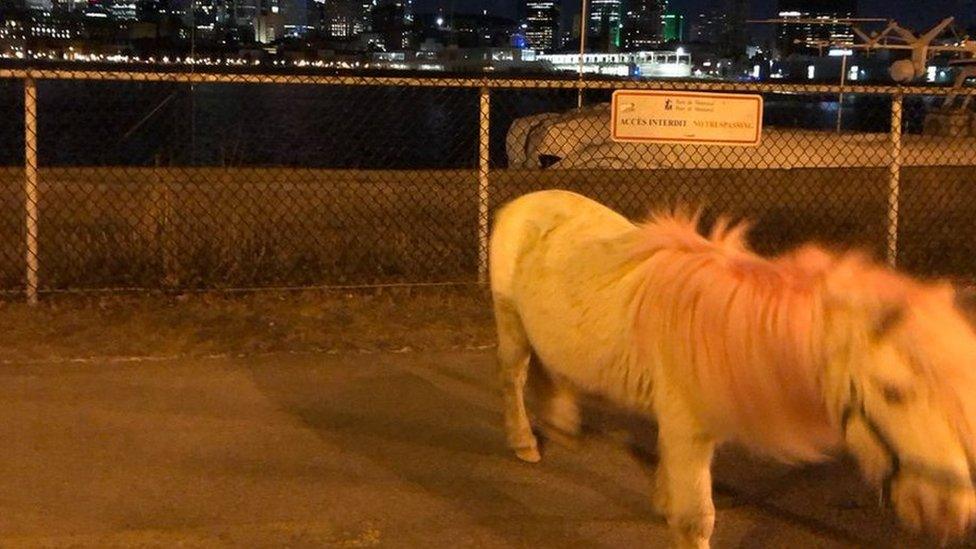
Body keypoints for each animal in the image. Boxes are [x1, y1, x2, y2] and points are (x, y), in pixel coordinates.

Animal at [492, 189, 976, 548]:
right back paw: (524, 443)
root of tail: (523, 202)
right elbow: (697, 519)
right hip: (511, 325)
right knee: (513, 379)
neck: (723, 327)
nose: (953, 510)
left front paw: (662, 498)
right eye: (893, 392)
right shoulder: (687, 427)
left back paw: (560, 422)